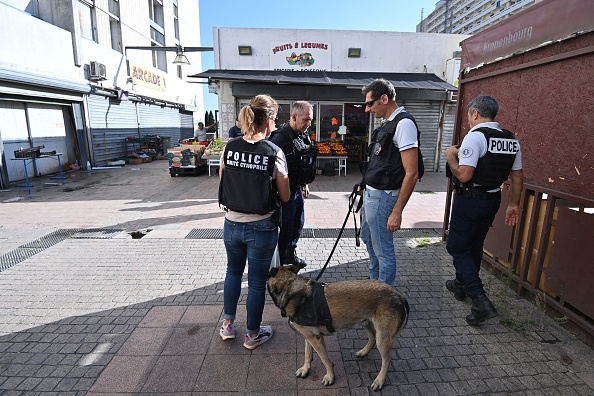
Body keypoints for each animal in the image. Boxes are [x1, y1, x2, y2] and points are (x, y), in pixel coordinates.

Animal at [268, 264, 408, 392]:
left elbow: (325, 360)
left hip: (382, 337)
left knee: (387, 359)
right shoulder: (310, 336)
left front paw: (330, 377)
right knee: (372, 338)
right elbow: (307, 353)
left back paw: (379, 380)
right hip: (366, 323)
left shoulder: (316, 339)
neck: (289, 287)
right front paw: (305, 369)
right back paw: (363, 352)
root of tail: (399, 295)